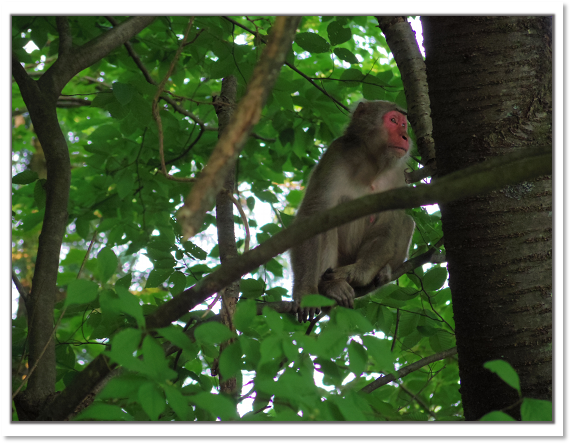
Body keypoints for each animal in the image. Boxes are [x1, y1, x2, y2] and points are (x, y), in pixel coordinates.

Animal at [290, 99, 416, 322]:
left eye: (404, 124)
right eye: (393, 121)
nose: (405, 136)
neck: (371, 162)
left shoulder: (398, 175)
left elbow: (389, 220)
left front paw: (358, 273)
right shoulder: (336, 154)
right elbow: (312, 215)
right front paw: (305, 292)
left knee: (406, 221)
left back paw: (383, 271)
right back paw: (330, 287)